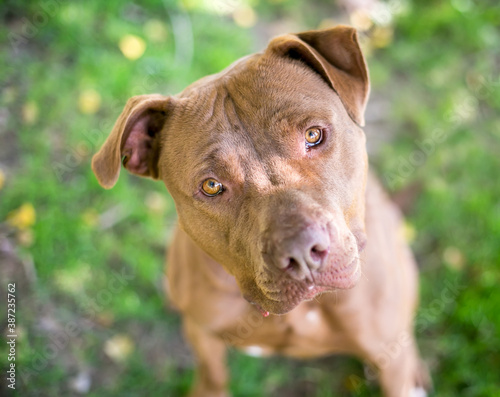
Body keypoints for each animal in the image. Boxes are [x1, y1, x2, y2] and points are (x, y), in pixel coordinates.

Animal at [93, 26, 430, 394]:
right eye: (212, 186)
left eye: (314, 135)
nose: (301, 253)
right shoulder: (203, 333)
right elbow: (213, 375)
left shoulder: (389, 356)